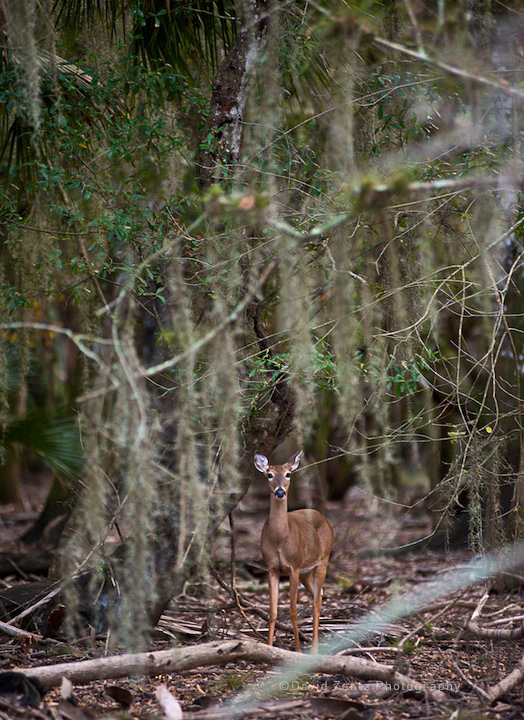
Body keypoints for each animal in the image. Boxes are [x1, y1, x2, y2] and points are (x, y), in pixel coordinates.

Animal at [255, 450, 336, 652]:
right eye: (269, 474)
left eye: (288, 474)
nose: (280, 492)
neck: (280, 540)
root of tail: (324, 518)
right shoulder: (272, 568)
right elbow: (273, 612)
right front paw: (269, 647)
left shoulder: (294, 565)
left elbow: (293, 610)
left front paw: (298, 649)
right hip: (307, 571)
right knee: (319, 594)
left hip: (323, 560)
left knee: (316, 602)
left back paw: (314, 649)